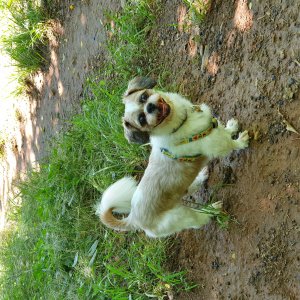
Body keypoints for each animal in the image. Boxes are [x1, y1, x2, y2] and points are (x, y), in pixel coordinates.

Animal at [95, 78, 248, 239]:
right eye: (142, 119)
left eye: (143, 97)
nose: (149, 106)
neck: (180, 123)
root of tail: (133, 219)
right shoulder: (216, 144)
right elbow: (231, 143)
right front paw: (241, 141)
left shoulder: (212, 128)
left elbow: (223, 129)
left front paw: (231, 127)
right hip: (181, 216)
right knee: (199, 218)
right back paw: (213, 209)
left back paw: (200, 178)